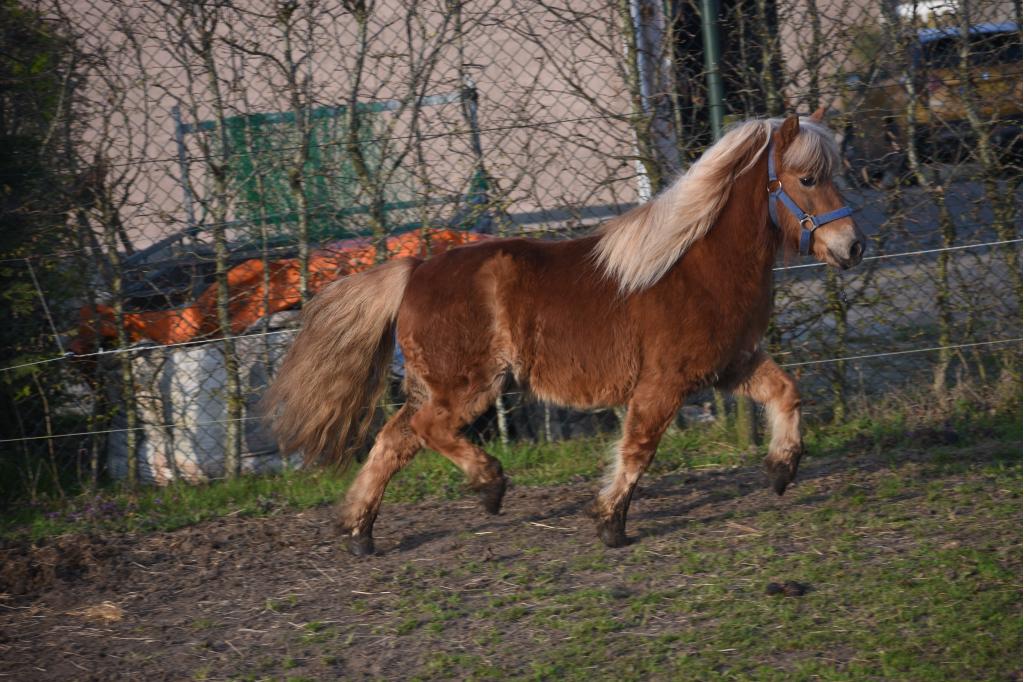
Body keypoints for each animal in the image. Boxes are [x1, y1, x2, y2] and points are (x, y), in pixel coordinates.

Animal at [263, 111, 866, 555]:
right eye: (808, 178)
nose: (853, 246)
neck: (694, 265)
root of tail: (414, 270)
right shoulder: (662, 384)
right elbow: (638, 450)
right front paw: (610, 524)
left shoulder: (731, 365)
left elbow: (786, 392)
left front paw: (782, 470)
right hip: (468, 386)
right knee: (428, 430)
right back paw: (489, 485)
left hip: (437, 385)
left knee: (394, 440)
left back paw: (360, 533)